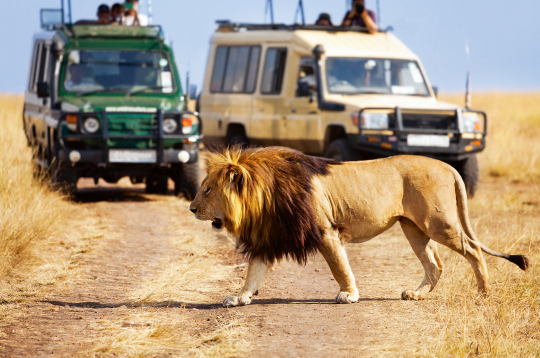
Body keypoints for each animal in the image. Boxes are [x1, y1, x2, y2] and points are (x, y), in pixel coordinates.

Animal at [189, 145, 528, 308]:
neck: (263, 198)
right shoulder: (268, 238)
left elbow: (340, 267)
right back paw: (416, 295)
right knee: (435, 264)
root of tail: (447, 165)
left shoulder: (326, 231)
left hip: (438, 222)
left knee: (473, 250)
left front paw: (349, 295)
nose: (191, 208)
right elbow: (252, 273)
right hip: (413, 228)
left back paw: (483, 293)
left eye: (207, 190)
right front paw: (239, 298)